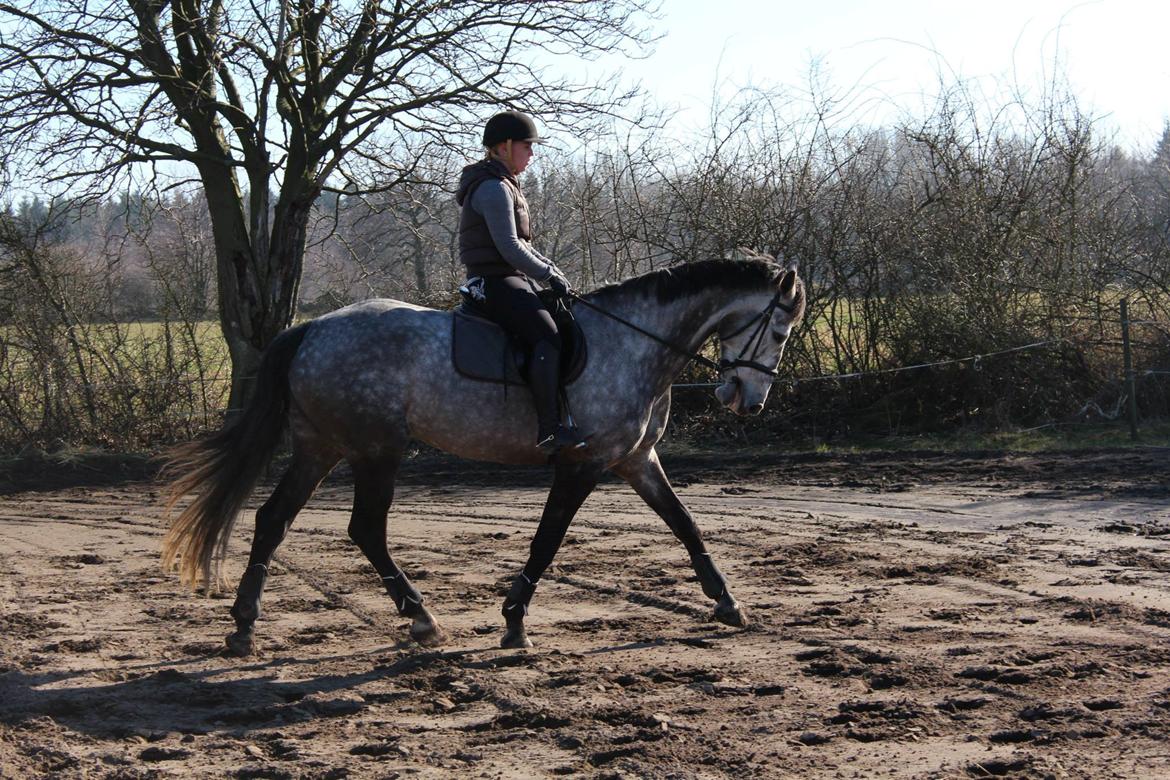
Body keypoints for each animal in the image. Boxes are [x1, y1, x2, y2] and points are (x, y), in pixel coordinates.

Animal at [164, 256, 804, 654]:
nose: (746, 401)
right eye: (779, 330)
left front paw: (727, 602)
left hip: (321, 447)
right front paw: (515, 621)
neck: (635, 343)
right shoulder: (583, 464)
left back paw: (245, 626)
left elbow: (686, 524)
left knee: (273, 519)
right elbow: (547, 541)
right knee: (364, 528)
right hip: (376, 450)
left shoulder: (637, 461)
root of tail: (312, 329)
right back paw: (420, 618)